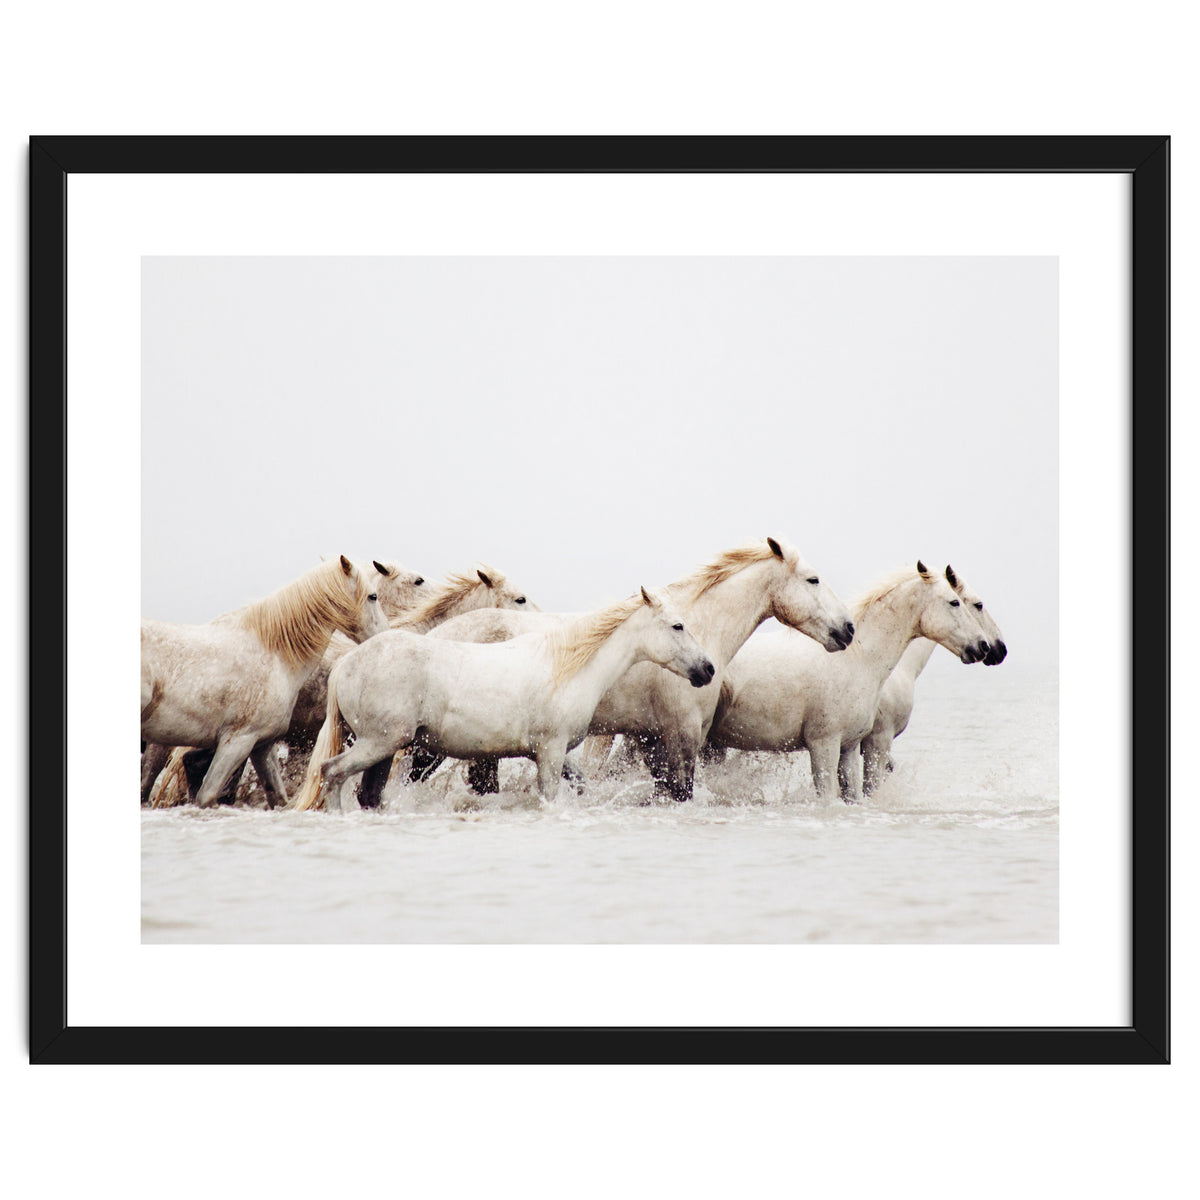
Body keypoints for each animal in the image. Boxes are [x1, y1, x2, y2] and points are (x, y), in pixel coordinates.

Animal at [142, 558, 424, 807]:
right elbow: (208, 796)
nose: (386, 636)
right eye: (372, 596)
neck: (275, 653)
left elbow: (277, 797)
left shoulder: (261, 744)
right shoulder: (237, 741)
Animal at [292, 587, 717, 811]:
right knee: (332, 773)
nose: (707, 670)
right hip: (379, 743)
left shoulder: (552, 753)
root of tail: (347, 663)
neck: (566, 667)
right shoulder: (550, 750)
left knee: (368, 793)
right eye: (678, 626)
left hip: (385, 748)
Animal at [416, 537, 856, 802]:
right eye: (813, 579)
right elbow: (680, 791)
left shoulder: (651, 739)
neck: (697, 627)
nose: (848, 629)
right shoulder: (681, 736)